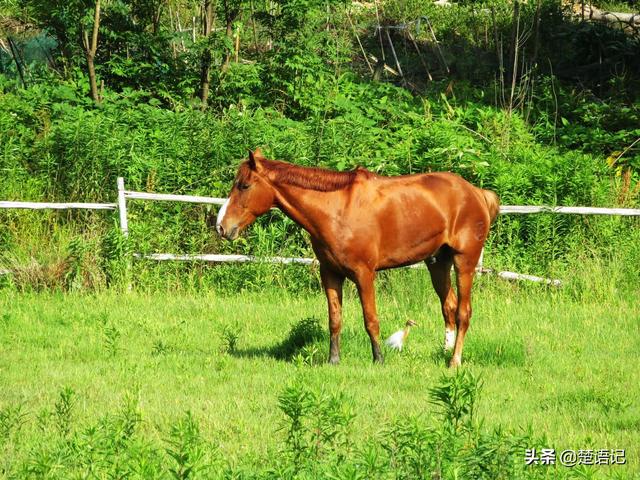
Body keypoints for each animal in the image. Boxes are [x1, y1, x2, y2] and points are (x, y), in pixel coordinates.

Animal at [216, 150, 500, 368]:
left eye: (244, 185)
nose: (221, 226)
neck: (337, 210)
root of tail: (477, 193)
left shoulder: (364, 275)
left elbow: (371, 319)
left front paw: (379, 359)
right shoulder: (330, 273)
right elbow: (334, 319)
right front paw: (333, 360)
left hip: (464, 262)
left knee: (463, 312)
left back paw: (454, 361)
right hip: (437, 262)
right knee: (448, 307)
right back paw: (444, 352)